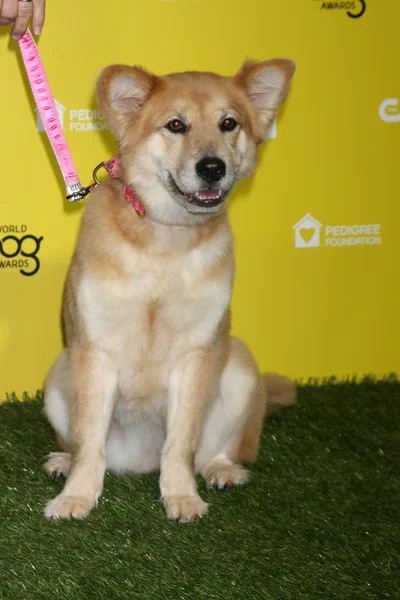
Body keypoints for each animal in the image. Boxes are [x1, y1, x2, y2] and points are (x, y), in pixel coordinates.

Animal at [43, 58, 296, 524]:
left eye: (229, 123)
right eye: (176, 125)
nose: (212, 167)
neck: (165, 241)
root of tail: (138, 460)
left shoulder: (196, 353)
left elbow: (181, 443)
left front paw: (181, 496)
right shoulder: (94, 350)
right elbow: (90, 443)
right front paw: (77, 497)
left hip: (240, 366)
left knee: (215, 450)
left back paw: (222, 470)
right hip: (58, 375)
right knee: (85, 445)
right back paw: (65, 462)